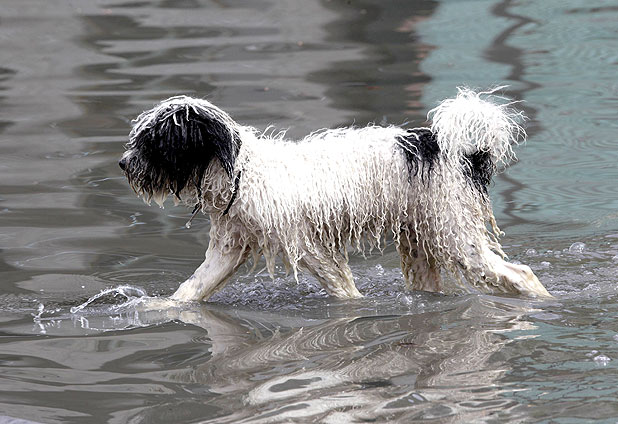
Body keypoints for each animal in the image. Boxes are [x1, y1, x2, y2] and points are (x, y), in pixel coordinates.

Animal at [119, 88, 548, 302]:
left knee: (520, 273)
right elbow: (189, 291)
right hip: (421, 241)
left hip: (456, 237)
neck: (241, 169)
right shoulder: (229, 249)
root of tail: (451, 150)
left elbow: (344, 293)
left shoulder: (308, 246)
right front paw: (155, 310)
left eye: (154, 140)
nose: (123, 164)